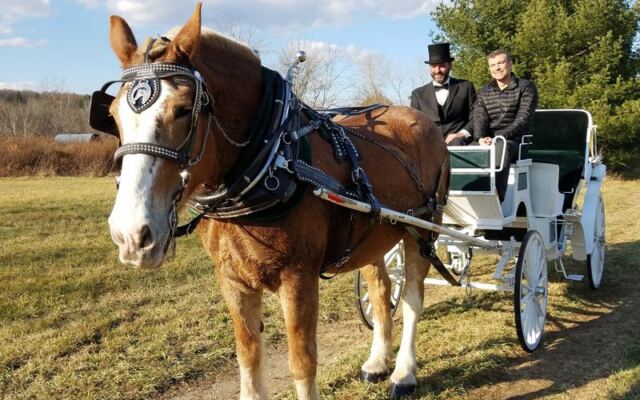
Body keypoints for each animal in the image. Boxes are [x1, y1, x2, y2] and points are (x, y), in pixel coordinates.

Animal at [99, 3, 449, 399]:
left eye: (184, 109)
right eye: (112, 115)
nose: (131, 235)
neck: (272, 157)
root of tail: (422, 121)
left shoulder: (298, 277)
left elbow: (302, 361)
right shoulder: (231, 279)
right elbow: (248, 355)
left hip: (422, 231)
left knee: (412, 299)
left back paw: (404, 372)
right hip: (374, 235)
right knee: (380, 291)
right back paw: (377, 361)